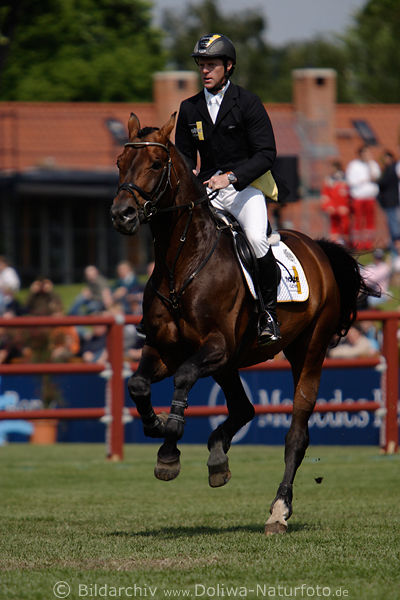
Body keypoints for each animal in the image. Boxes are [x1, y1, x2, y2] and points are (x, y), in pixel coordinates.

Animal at [109, 112, 372, 536]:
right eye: (120, 162)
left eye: (155, 164)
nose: (122, 215)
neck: (183, 260)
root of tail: (317, 248)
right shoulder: (165, 348)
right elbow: (138, 384)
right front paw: (157, 429)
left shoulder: (215, 347)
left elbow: (183, 379)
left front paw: (169, 443)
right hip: (231, 365)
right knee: (244, 409)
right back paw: (218, 455)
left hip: (307, 352)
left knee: (296, 434)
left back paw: (278, 511)